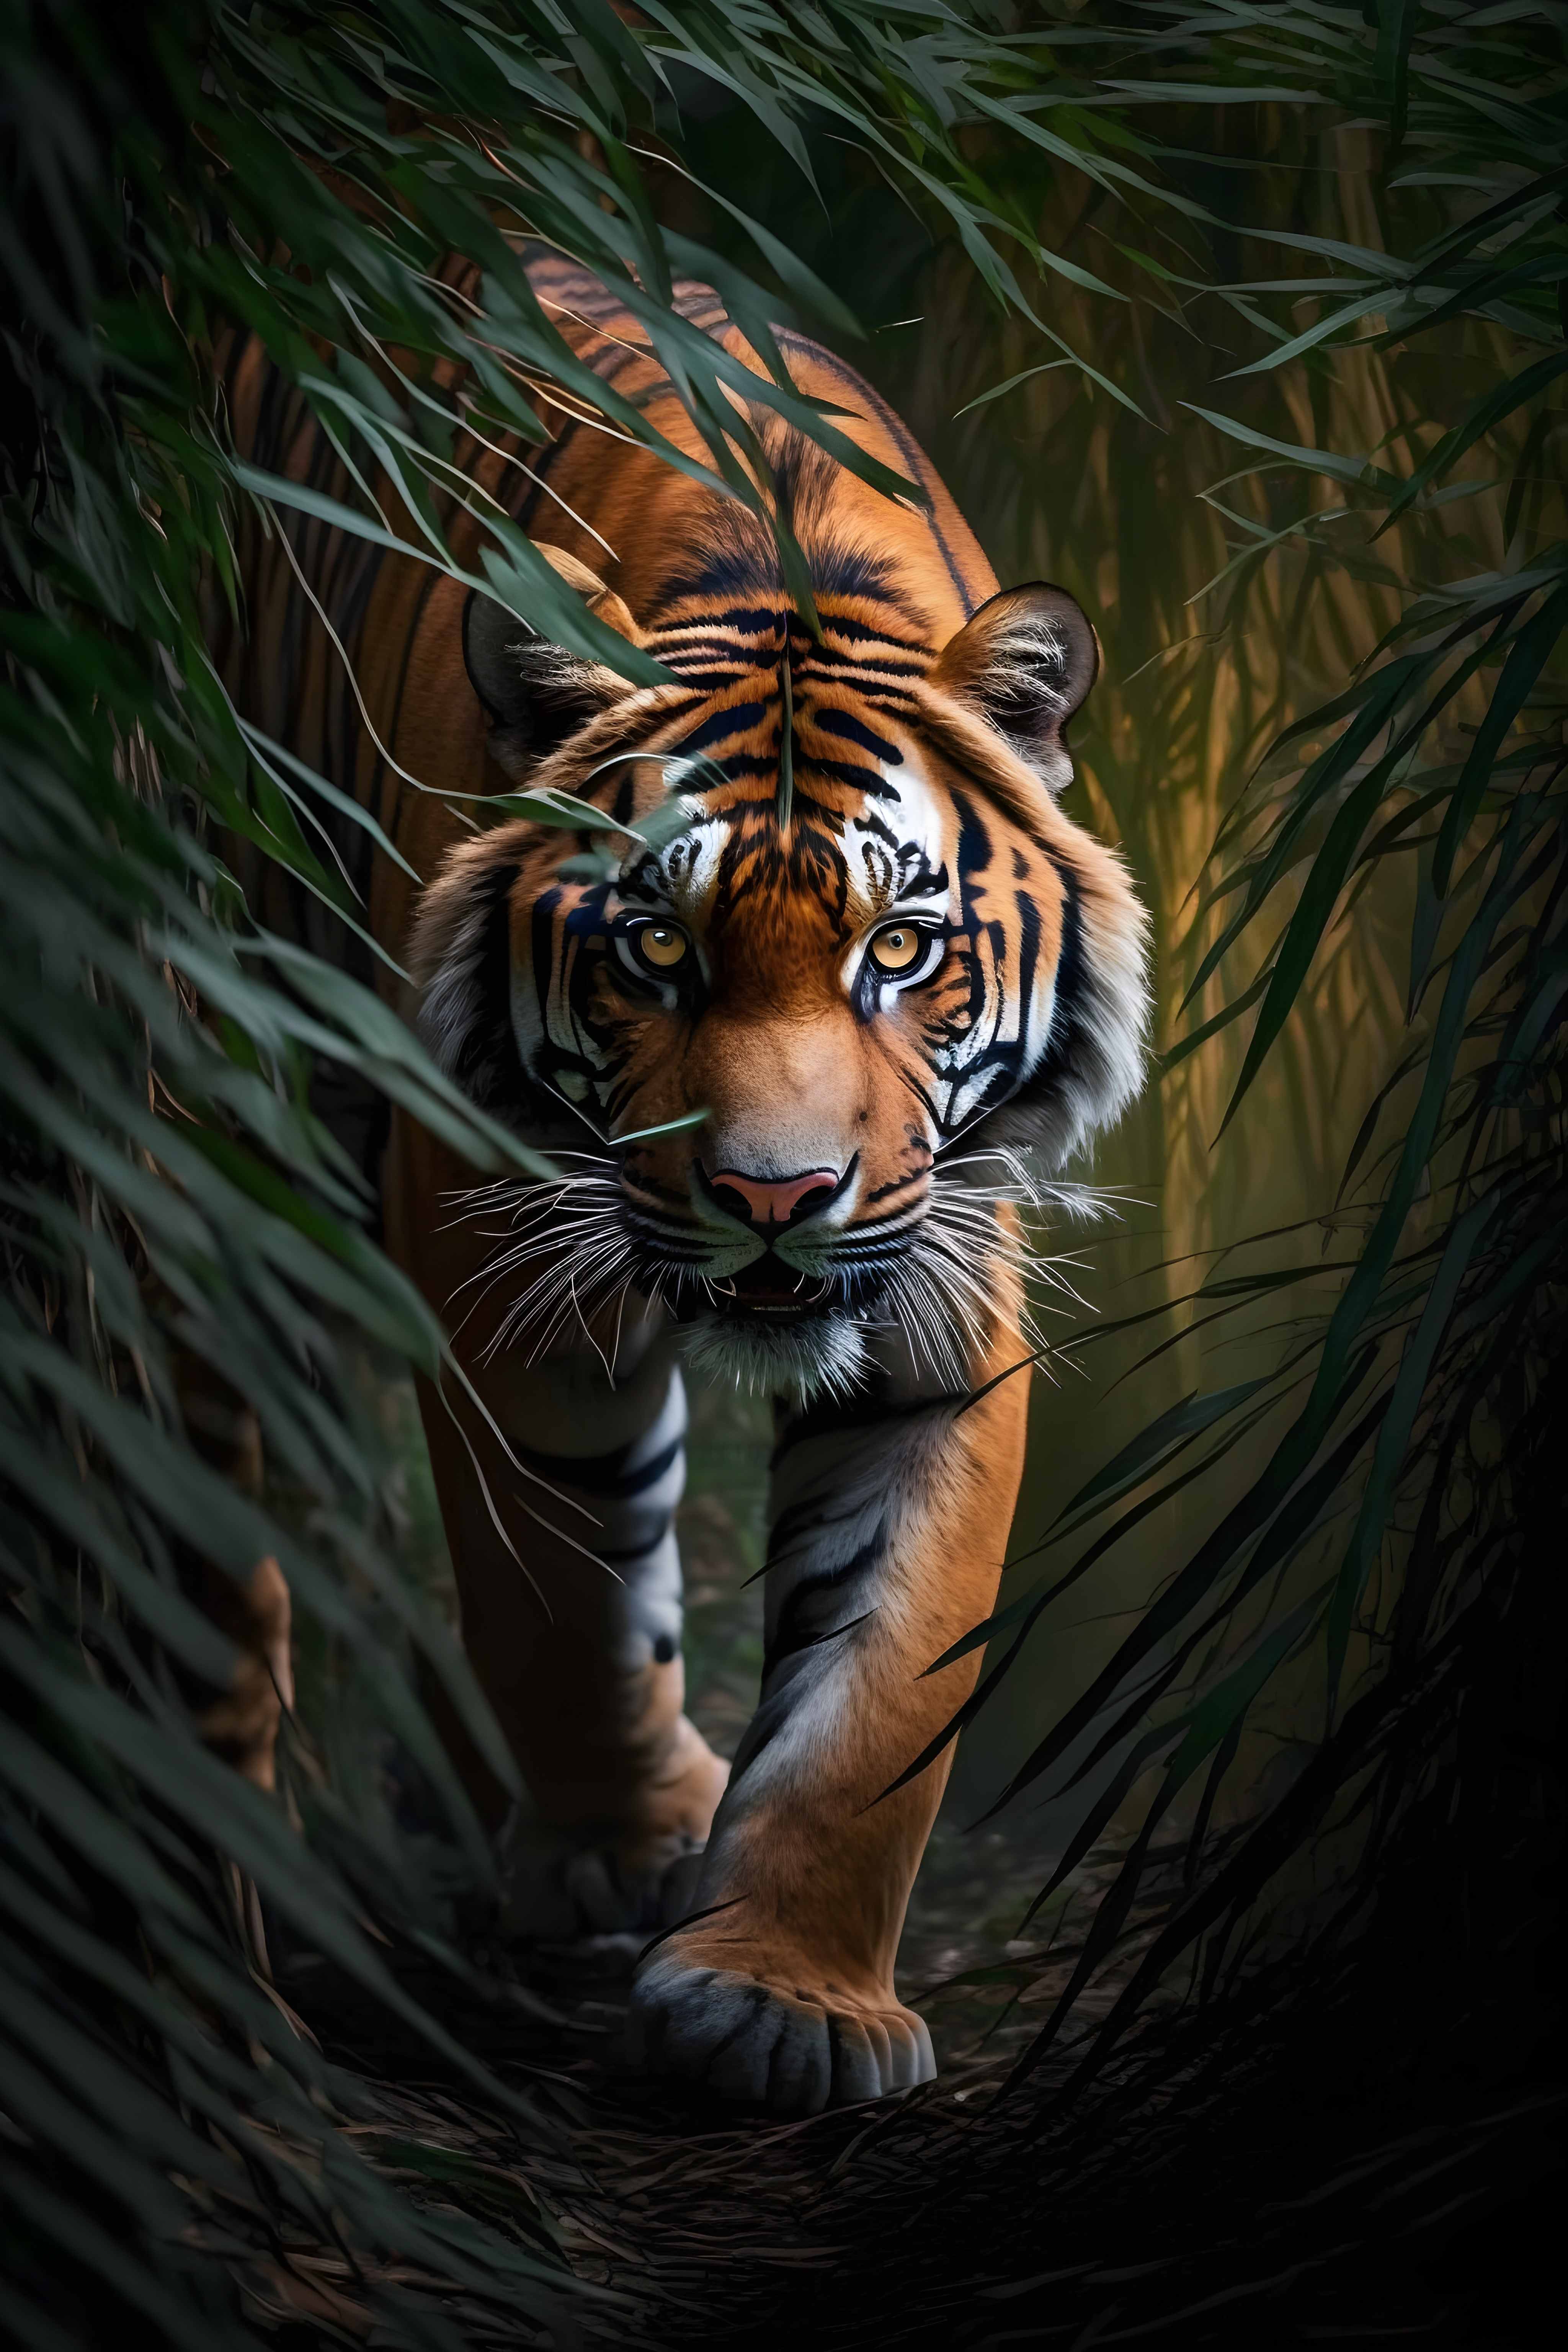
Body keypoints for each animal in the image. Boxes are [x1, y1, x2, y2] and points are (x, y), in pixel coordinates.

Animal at [212, 243, 1150, 2114]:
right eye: (655, 946)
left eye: (900, 948)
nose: (776, 1197)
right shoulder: (492, 1233)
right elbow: (560, 1579)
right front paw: (621, 1841)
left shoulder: (940, 1286)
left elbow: (882, 1679)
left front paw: (783, 1995)